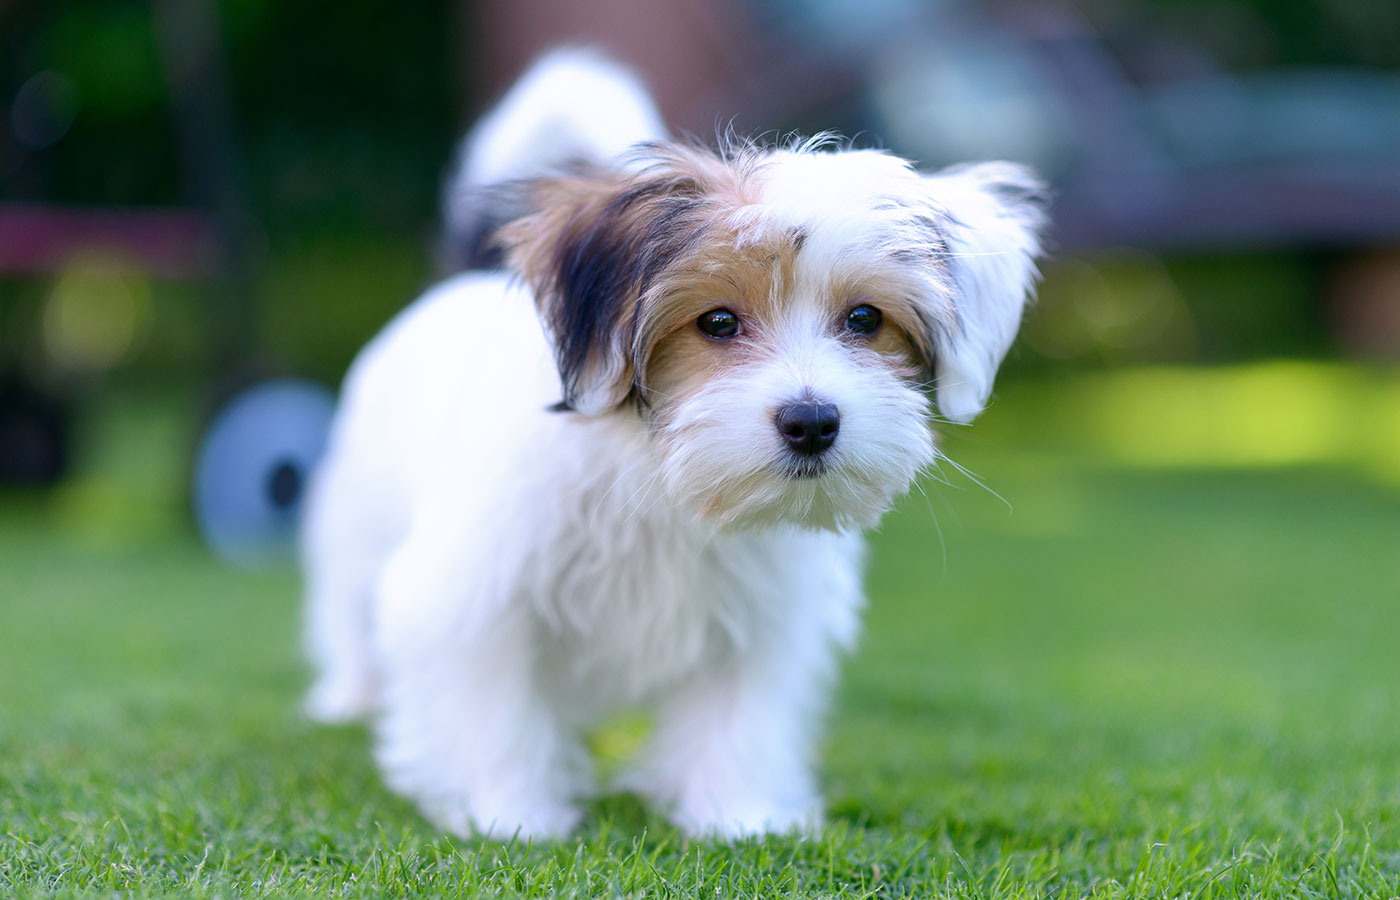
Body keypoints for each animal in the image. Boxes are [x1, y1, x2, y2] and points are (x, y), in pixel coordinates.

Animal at [303, 47, 1052, 839]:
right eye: (717, 322)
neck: (661, 476)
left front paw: (740, 817)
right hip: (354, 522)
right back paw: (347, 696)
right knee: (346, 604)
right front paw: (509, 815)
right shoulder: (474, 595)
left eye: (865, 319)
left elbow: (737, 719)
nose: (813, 422)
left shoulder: (759, 616)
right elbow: (492, 712)